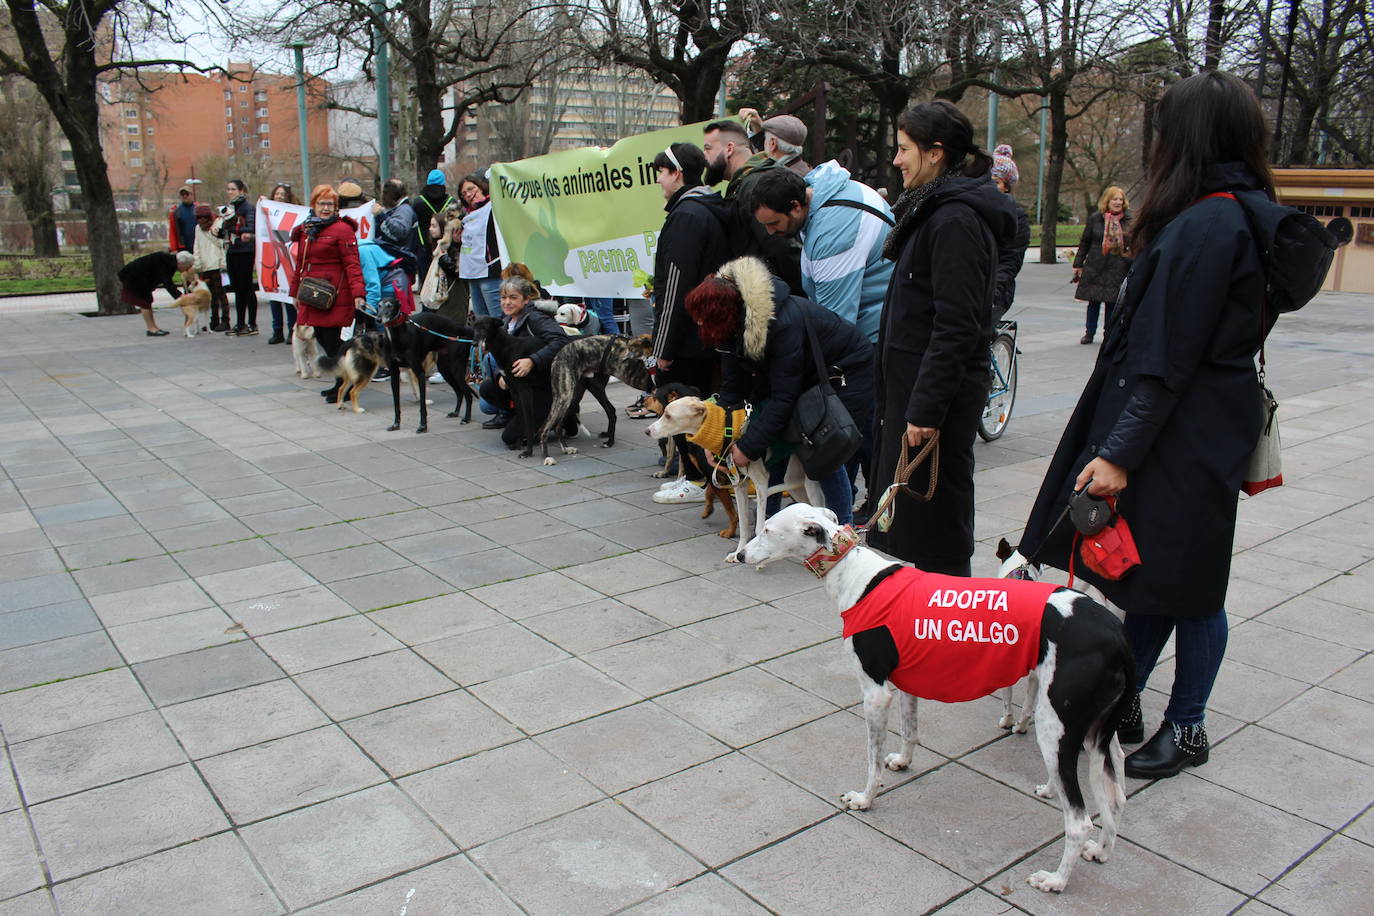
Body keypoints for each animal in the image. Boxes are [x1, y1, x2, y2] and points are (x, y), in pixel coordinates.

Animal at [379, 298, 480, 433]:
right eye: (379, 305)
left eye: (389, 306)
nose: (378, 318)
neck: (397, 336)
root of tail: (464, 328)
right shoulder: (394, 374)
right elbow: (396, 404)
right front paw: (396, 424)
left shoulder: (419, 373)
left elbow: (422, 404)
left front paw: (423, 426)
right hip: (444, 369)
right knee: (459, 393)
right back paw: (456, 412)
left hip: (456, 368)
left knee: (468, 395)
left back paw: (466, 418)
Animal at [538, 333, 656, 466]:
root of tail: (558, 355)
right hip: (565, 397)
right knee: (544, 428)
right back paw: (547, 457)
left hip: (573, 398)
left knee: (558, 426)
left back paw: (566, 449)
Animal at [645, 395, 824, 563]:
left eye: (668, 416)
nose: (647, 431)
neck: (724, 428)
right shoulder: (739, 485)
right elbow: (743, 524)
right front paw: (737, 553)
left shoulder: (761, 481)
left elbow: (759, 527)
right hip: (796, 482)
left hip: (810, 483)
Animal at [747, 505, 1132, 889]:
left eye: (767, 530)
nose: (740, 555)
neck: (857, 578)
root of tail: (1116, 635)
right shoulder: (905, 681)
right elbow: (910, 731)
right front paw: (903, 762)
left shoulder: (875, 694)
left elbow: (872, 760)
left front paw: (865, 798)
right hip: (1097, 734)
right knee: (1116, 791)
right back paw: (1101, 850)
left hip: (1055, 728)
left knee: (1079, 820)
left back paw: (1056, 880)